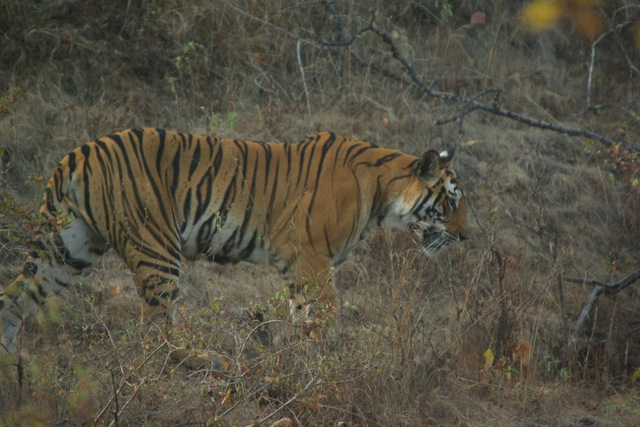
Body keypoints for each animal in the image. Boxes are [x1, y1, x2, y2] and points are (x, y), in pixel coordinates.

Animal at [0, 128, 470, 352]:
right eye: (450, 202)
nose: (467, 236)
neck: (384, 193)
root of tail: (78, 152)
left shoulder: (299, 267)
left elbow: (301, 317)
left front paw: (295, 361)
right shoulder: (311, 260)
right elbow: (324, 318)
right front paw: (327, 366)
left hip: (68, 247)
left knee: (13, 298)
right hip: (156, 249)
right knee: (155, 332)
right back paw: (198, 365)